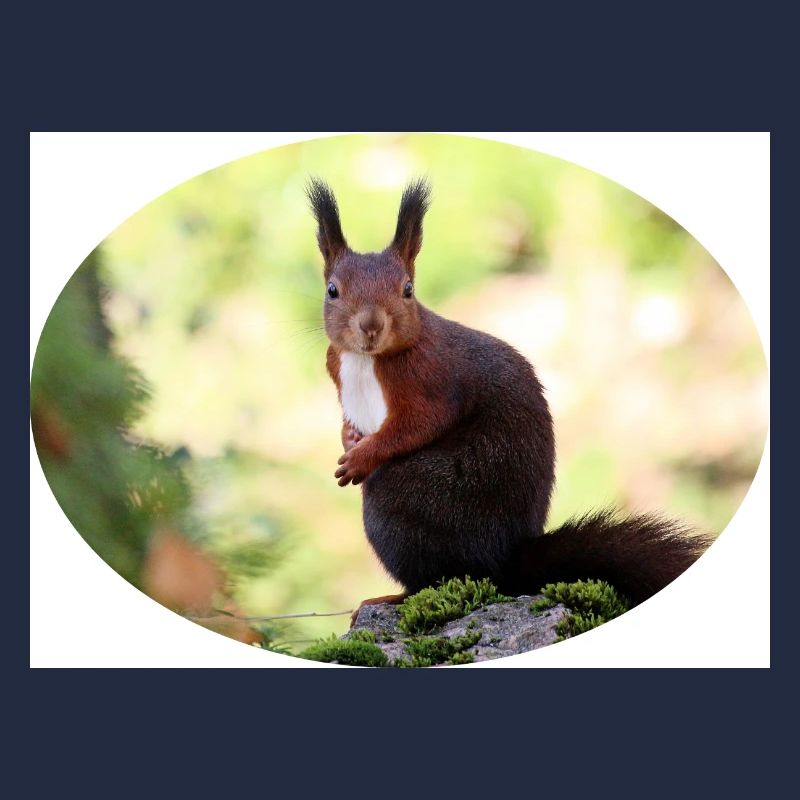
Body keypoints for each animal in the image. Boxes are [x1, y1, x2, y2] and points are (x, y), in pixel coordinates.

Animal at [307, 177, 711, 621]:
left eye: (408, 290)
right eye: (332, 290)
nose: (371, 326)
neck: (366, 360)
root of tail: (501, 562)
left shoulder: (430, 380)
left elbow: (417, 425)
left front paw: (362, 456)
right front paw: (349, 439)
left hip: (404, 502)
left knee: (435, 577)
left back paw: (392, 597)